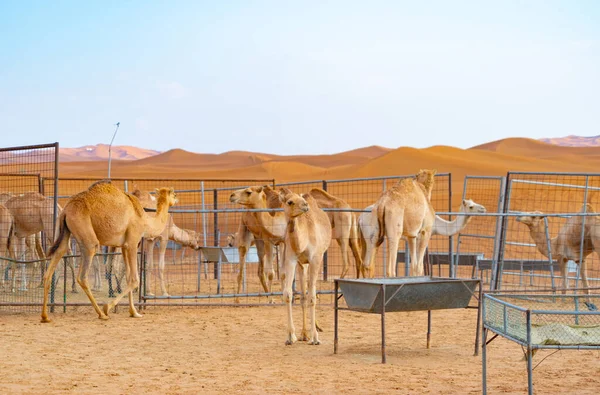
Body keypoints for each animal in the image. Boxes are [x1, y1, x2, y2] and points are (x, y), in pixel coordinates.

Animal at [39, 181, 176, 324]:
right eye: (174, 194)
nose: (176, 200)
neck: (145, 220)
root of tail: (66, 210)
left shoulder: (123, 246)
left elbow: (128, 278)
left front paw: (134, 312)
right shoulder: (132, 242)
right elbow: (134, 280)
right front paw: (108, 307)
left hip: (63, 230)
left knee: (57, 257)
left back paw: (45, 316)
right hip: (86, 234)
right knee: (83, 274)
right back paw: (101, 313)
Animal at [278, 189, 330, 346]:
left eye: (299, 198)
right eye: (289, 201)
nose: (305, 205)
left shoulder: (315, 259)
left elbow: (313, 296)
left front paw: (315, 338)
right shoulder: (291, 259)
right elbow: (288, 294)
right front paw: (290, 336)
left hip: (314, 260)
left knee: (308, 294)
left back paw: (311, 333)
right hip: (301, 264)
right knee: (303, 296)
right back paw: (303, 334)